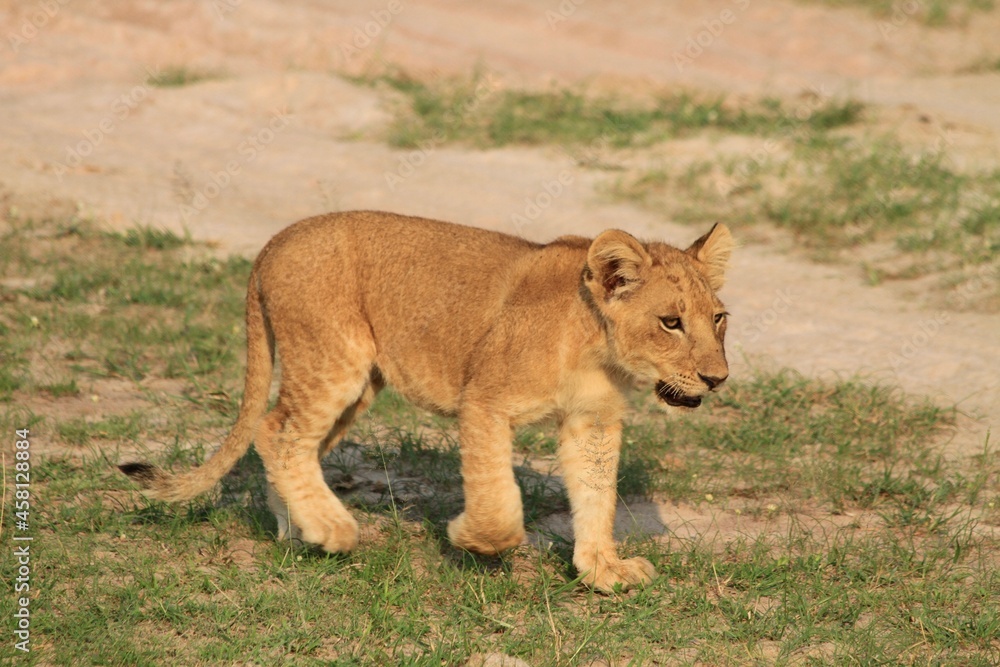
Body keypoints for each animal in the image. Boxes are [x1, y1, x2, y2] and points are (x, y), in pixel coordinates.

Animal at [120, 210, 732, 592]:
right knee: (274, 430)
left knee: (292, 441)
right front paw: (472, 539)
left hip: (359, 384)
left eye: (719, 318)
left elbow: (597, 495)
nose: (717, 378)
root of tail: (275, 241)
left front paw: (602, 570)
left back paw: (301, 531)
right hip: (333, 361)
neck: (598, 347)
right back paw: (332, 529)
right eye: (671, 322)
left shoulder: (593, 422)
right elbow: (497, 497)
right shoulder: (484, 400)